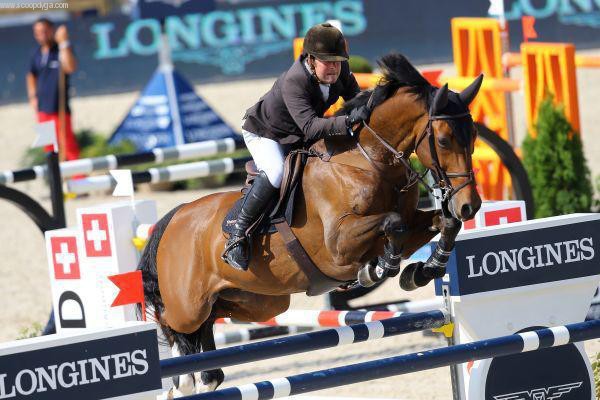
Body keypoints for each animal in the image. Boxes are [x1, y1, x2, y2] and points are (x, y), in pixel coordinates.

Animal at [139, 52, 482, 394]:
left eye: (474, 136)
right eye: (443, 140)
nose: (470, 205)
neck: (369, 160)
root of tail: (173, 219)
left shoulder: (410, 225)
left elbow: (444, 223)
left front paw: (424, 270)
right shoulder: (338, 245)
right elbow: (392, 223)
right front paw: (380, 268)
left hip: (259, 302)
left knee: (211, 330)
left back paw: (200, 377)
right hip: (189, 306)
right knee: (172, 322)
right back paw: (180, 379)